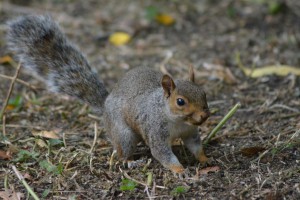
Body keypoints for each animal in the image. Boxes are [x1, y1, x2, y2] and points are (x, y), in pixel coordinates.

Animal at [6, 15, 209, 173]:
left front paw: (205, 159)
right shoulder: (155, 130)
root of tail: (105, 105)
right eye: (180, 102)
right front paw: (180, 170)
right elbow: (163, 154)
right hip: (124, 134)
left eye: (204, 93)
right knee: (122, 153)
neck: (177, 121)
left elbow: (195, 146)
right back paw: (132, 162)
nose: (204, 116)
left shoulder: (190, 132)